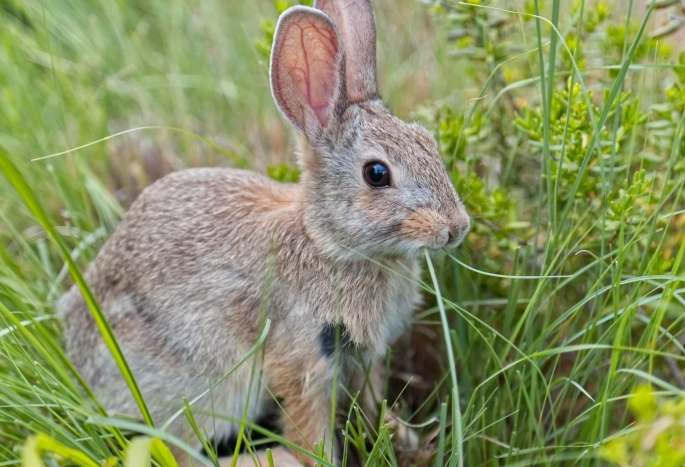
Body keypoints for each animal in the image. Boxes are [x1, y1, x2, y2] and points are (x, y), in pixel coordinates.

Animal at [57, 0, 470, 466]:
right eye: (377, 173)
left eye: (428, 141)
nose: (456, 227)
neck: (328, 244)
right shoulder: (303, 356)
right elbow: (309, 426)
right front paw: (319, 458)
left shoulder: (363, 358)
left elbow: (372, 399)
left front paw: (405, 438)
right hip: (202, 384)